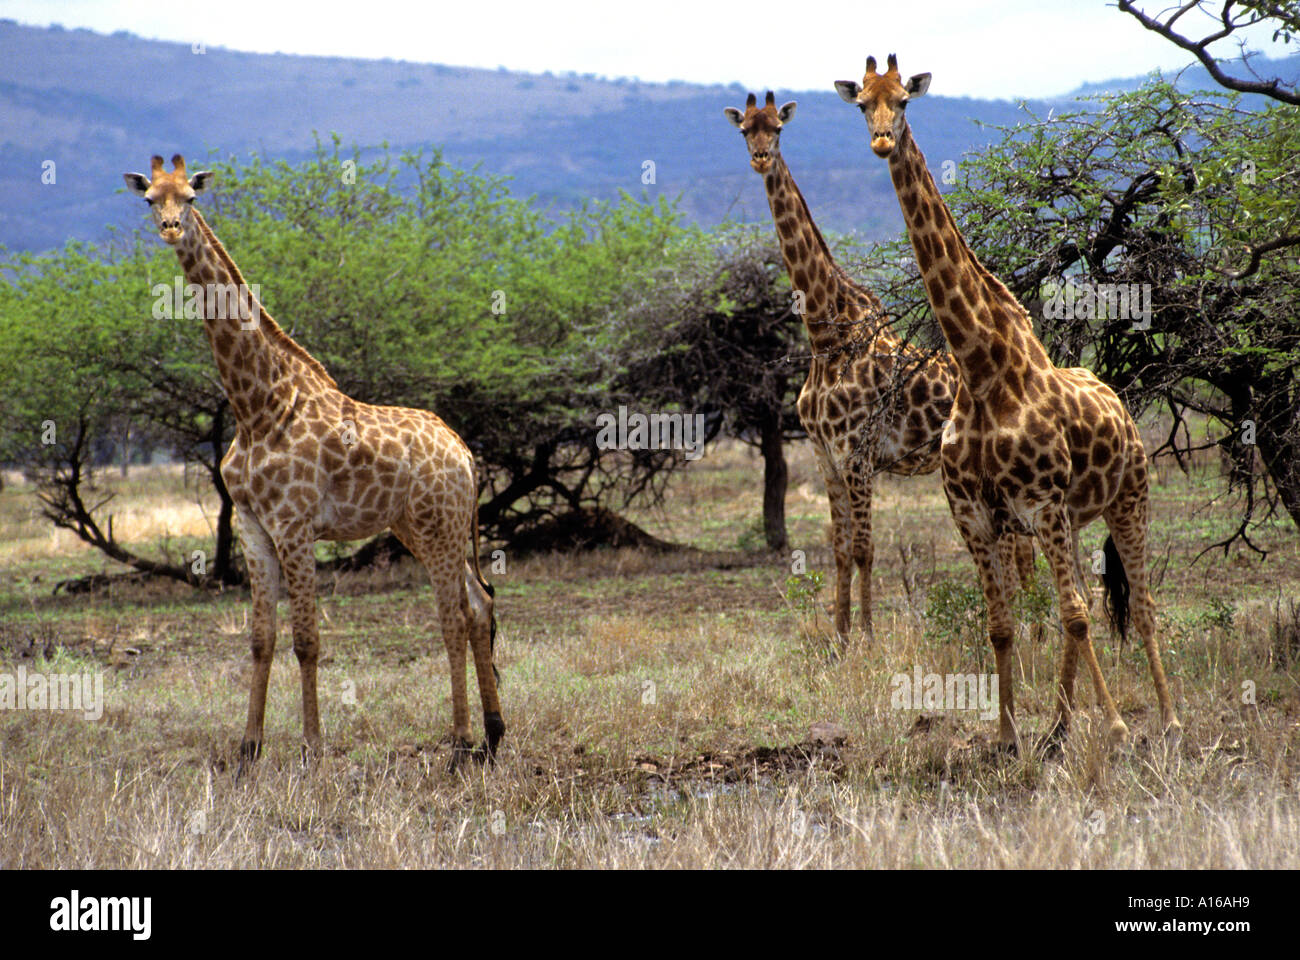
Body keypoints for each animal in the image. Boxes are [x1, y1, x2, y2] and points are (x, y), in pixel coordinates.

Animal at [122, 155, 501, 770]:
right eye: (151, 199)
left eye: (192, 199)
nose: (172, 229)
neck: (257, 405)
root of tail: (464, 451)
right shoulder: (252, 525)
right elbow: (261, 638)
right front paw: (248, 749)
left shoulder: (294, 524)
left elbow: (307, 640)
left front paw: (312, 748)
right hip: (417, 527)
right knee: (480, 602)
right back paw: (494, 735)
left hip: (439, 525)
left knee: (455, 616)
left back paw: (461, 744)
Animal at [728, 91, 1029, 642]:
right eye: (745, 131)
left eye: (776, 129)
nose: (760, 158)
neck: (826, 337)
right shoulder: (825, 456)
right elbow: (840, 549)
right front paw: (840, 637)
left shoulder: (857, 453)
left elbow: (866, 549)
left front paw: (867, 637)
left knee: (1021, 544)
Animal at [837, 57, 1185, 749]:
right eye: (861, 103)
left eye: (904, 102)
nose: (883, 141)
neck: (981, 371)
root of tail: (1119, 400)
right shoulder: (974, 515)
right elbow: (1002, 625)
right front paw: (1009, 735)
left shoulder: (1040, 503)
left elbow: (1072, 615)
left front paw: (1101, 725)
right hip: (1072, 519)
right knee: (1087, 600)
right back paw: (1070, 721)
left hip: (1128, 498)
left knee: (1138, 603)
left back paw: (1165, 718)